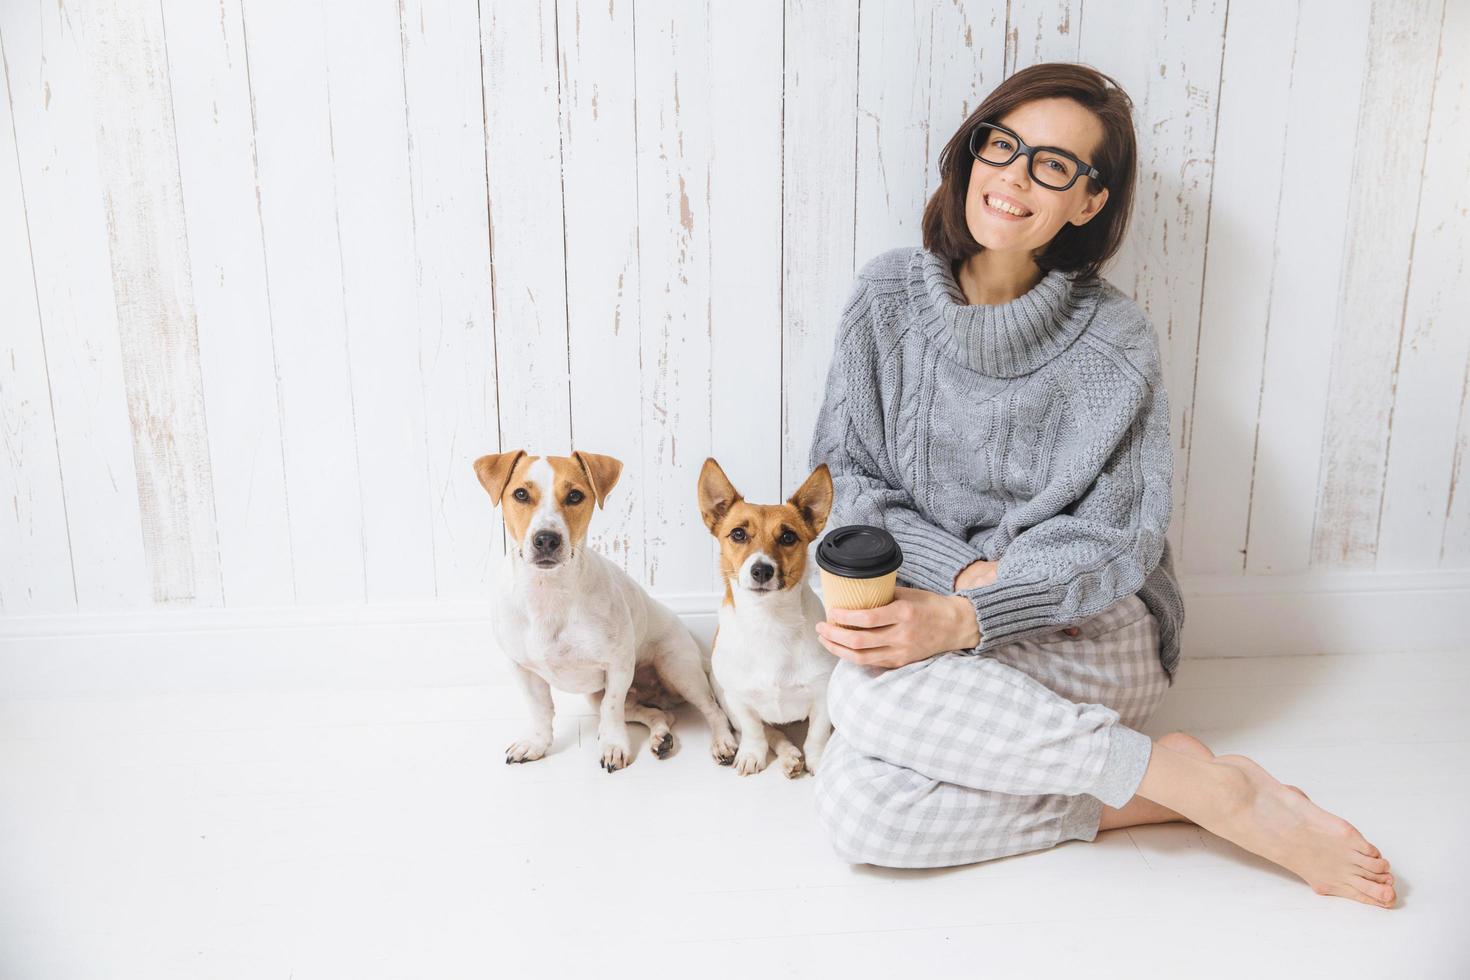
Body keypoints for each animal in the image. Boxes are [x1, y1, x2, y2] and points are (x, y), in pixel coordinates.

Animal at [476, 452, 740, 775]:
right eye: (521, 494)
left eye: (575, 496)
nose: (547, 539)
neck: (549, 593)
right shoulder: (522, 669)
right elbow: (540, 710)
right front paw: (536, 743)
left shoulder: (618, 666)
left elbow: (611, 708)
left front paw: (614, 745)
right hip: (600, 696)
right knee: (658, 714)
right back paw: (661, 737)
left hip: (679, 669)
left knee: (712, 709)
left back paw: (722, 742)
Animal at [693, 461, 834, 781]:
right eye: (738, 534)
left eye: (788, 537)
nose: (761, 570)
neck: (770, 620)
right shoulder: (737, 699)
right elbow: (755, 730)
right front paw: (752, 754)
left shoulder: (823, 695)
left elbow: (817, 735)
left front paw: (818, 760)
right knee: (772, 733)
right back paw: (788, 755)